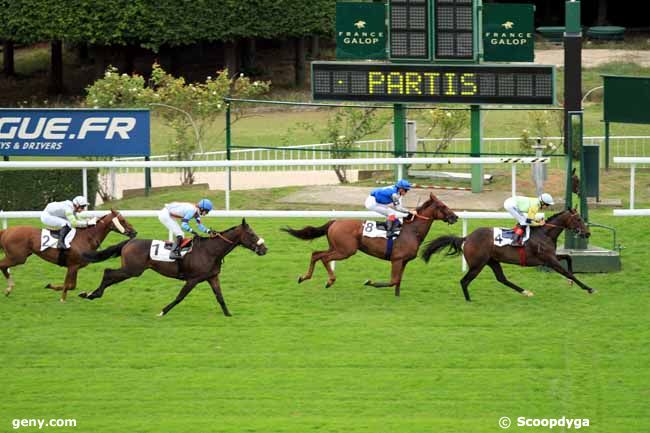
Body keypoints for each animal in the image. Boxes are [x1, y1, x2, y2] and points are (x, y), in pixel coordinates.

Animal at [0, 209, 137, 300]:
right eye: (123, 220)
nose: (134, 232)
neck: (86, 237)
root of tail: (6, 231)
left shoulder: (75, 267)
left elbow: (71, 285)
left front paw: (52, 287)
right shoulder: (72, 266)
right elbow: (69, 285)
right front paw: (62, 299)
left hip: (18, 256)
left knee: (3, 266)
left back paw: (9, 289)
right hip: (17, 257)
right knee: (2, 265)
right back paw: (9, 288)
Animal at [78, 219, 266, 314]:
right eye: (251, 234)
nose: (264, 249)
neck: (210, 251)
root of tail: (129, 242)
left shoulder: (212, 277)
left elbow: (220, 297)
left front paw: (228, 315)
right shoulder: (193, 279)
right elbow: (180, 297)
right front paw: (163, 311)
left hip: (132, 270)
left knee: (109, 274)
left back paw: (91, 294)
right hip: (132, 270)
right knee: (108, 272)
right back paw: (91, 294)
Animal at [282, 194, 456, 296]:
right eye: (442, 206)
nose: (455, 217)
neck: (411, 230)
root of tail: (335, 221)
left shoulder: (404, 261)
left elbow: (398, 281)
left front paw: (397, 296)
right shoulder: (397, 259)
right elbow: (393, 281)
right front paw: (369, 282)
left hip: (336, 247)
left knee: (316, 254)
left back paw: (304, 277)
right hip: (346, 250)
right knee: (324, 258)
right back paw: (330, 280)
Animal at [420, 208, 592, 298]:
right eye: (578, 219)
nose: (587, 233)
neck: (545, 233)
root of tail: (466, 238)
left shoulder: (549, 258)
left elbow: (568, 258)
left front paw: (571, 282)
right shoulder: (548, 260)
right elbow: (567, 271)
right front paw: (588, 288)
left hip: (492, 261)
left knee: (501, 278)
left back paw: (525, 292)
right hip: (477, 264)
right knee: (464, 281)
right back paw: (469, 300)